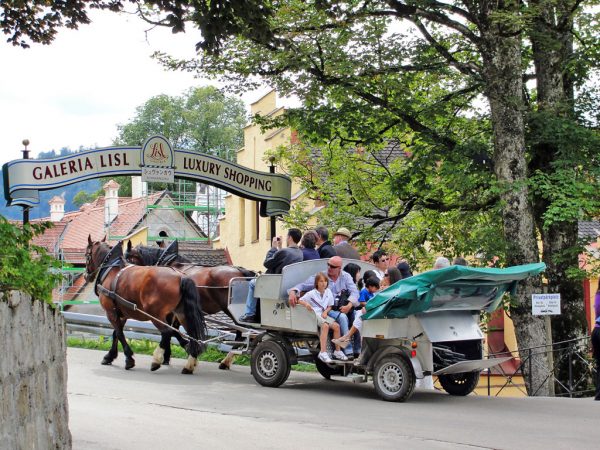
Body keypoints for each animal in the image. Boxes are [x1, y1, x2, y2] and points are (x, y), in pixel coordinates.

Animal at [83, 236, 207, 372]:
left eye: (86, 255)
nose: (85, 275)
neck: (112, 270)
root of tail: (180, 277)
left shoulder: (111, 312)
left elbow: (119, 333)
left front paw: (129, 359)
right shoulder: (122, 314)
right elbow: (116, 333)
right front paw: (110, 356)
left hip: (155, 314)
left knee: (167, 332)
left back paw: (157, 360)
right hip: (181, 313)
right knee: (192, 334)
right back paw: (190, 362)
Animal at [125, 243, 256, 370]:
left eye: (128, 259)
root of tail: (241, 272)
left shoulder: (171, 312)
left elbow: (172, 331)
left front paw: (181, 352)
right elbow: (173, 331)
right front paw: (170, 355)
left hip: (229, 309)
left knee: (242, 332)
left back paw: (226, 361)